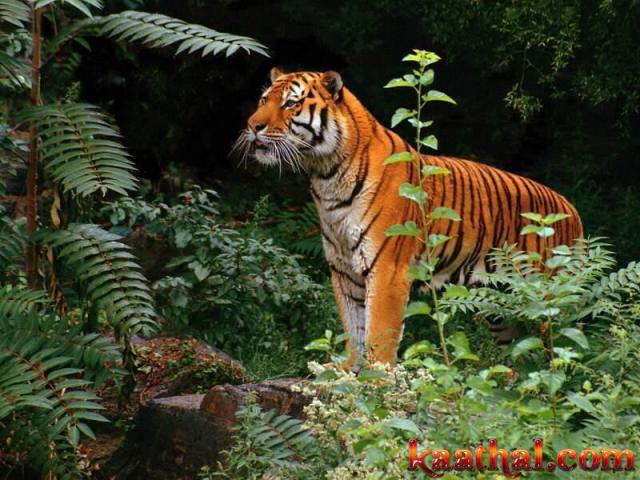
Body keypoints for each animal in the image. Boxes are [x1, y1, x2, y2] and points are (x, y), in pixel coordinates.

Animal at [234, 67, 583, 368]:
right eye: (263, 100)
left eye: (290, 103)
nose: (252, 126)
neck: (327, 175)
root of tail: (572, 209)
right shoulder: (344, 271)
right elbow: (353, 327)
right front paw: (346, 372)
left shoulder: (387, 269)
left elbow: (379, 332)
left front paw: (376, 382)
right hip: (502, 306)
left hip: (547, 299)